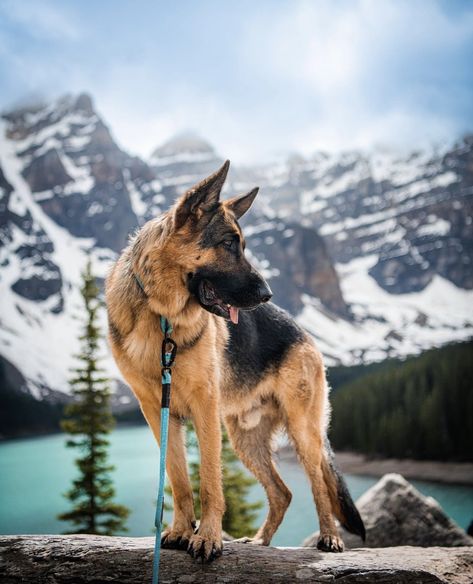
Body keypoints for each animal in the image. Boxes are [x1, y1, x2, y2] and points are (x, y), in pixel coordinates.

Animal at [106, 160, 366, 560]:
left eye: (242, 245)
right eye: (228, 244)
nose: (267, 294)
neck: (161, 316)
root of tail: (304, 333)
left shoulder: (204, 408)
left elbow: (210, 482)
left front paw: (208, 537)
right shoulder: (158, 412)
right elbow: (179, 480)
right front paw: (181, 531)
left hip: (302, 431)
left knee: (318, 484)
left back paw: (329, 537)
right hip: (246, 439)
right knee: (283, 492)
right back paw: (259, 541)